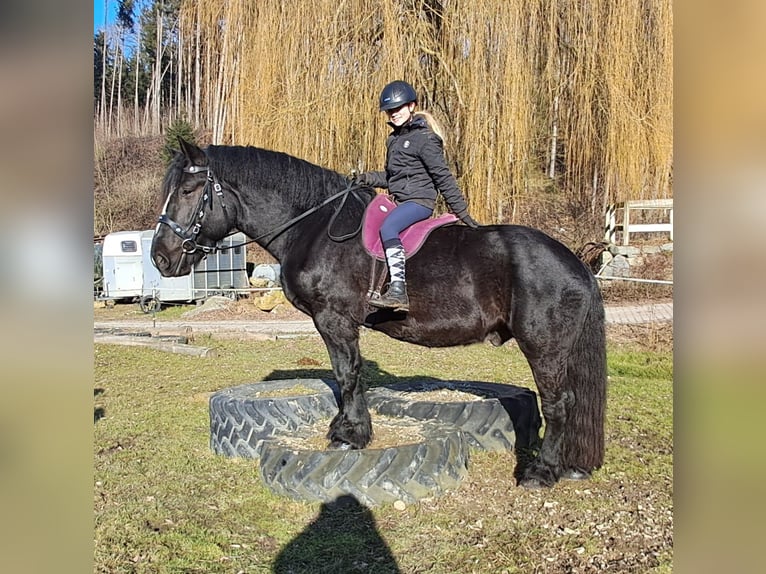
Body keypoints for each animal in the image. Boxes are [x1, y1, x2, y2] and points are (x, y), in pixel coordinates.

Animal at [152, 137, 608, 488]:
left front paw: (351, 435)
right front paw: (345, 428)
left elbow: (348, 375)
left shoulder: (334, 320)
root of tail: (575, 261)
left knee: (559, 404)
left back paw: (542, 471)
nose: (160, 257)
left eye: (189, 190)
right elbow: (348, 376)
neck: (314, 227)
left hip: (544, 347)